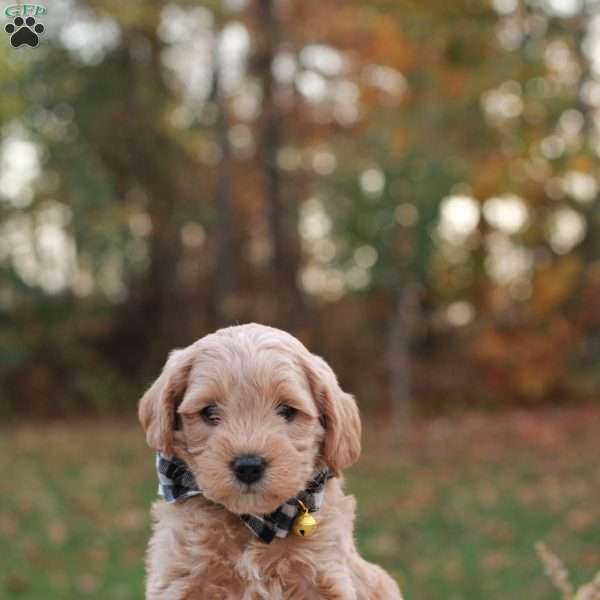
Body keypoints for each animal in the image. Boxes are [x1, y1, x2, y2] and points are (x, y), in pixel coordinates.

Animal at [139, 324, 404, 600]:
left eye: (287, 410)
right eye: (209, 412)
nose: (248, 467)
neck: (256, 523)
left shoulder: (323, 576)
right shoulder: (180, 578)